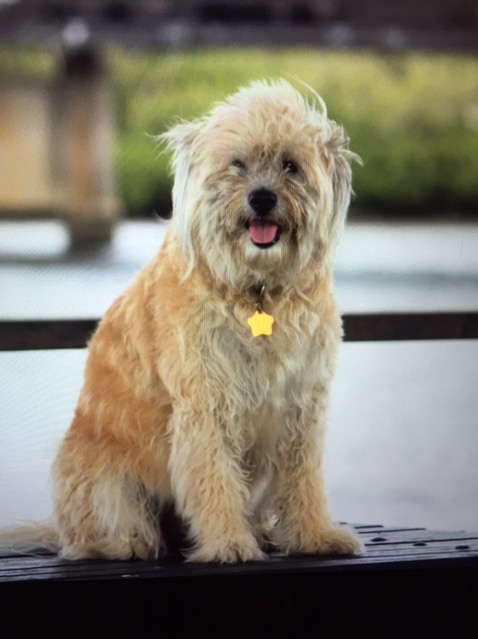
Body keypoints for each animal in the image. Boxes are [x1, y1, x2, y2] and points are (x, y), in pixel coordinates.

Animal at [1, 81, 364, 564]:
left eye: (291, 165)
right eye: (237, 164)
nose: (262, 198)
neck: (256, 291)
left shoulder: (302, 410)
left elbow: (303, 481)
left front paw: (313, 536)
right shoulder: (207, 407)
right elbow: (215, 481)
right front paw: (229, 543)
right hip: (102, 480)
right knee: (94, 535)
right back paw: (130, 543)